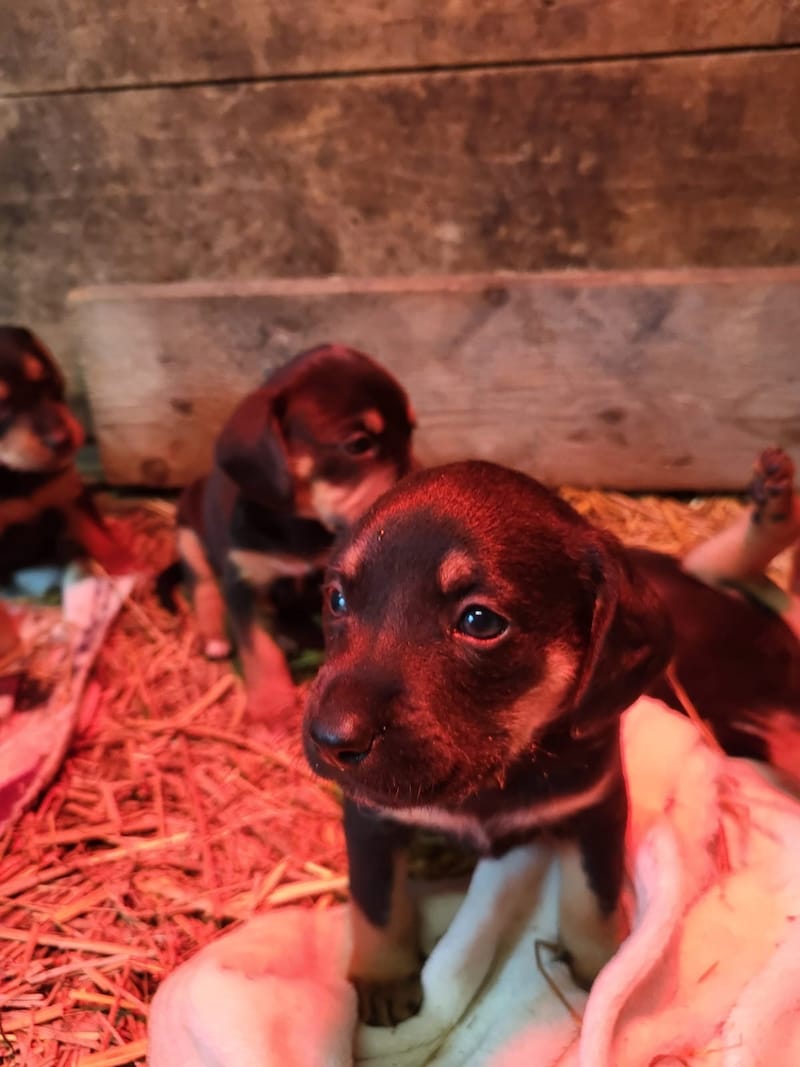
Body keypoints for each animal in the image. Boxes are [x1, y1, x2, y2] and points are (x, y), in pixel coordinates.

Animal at [0, 326, 130, 588]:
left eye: (49, 379)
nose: (61, 440)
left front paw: (124, 563)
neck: (19, 474)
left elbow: (96, 533)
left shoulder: (68, 493)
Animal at [172, 345, 416, 721]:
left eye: (411, 431)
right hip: (188, 528)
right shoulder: (243, 582)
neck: (301, 527)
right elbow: (259, 649)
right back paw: (213, 634)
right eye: (358, 444)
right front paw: (272, 708)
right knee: (202, 582)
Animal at [300, 463, 669, 1028]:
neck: (496, 775)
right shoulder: (369, 818)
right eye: (337, 599)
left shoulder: (597, 807)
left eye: (480, 621)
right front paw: (383, 978)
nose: (330, 739)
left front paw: (603, 967)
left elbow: (594, 895)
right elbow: (376, 902)